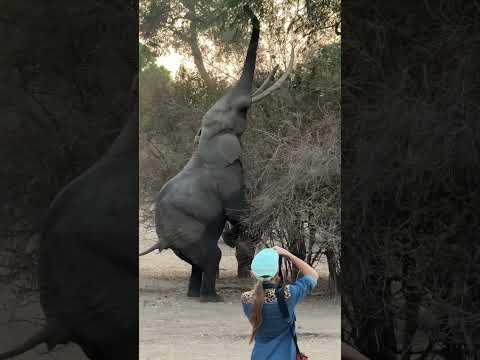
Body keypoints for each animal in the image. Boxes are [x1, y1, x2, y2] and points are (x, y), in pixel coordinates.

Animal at [139, 6, 294, 304]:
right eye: (244, 108)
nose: (247, 8)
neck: (206, 138)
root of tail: (161, 238)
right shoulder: (229, 173)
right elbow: (236, 210)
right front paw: (234, 235)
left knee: (197, 263)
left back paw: (194, 295)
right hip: (188, 231)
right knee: (212, 257)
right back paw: (212, 298)